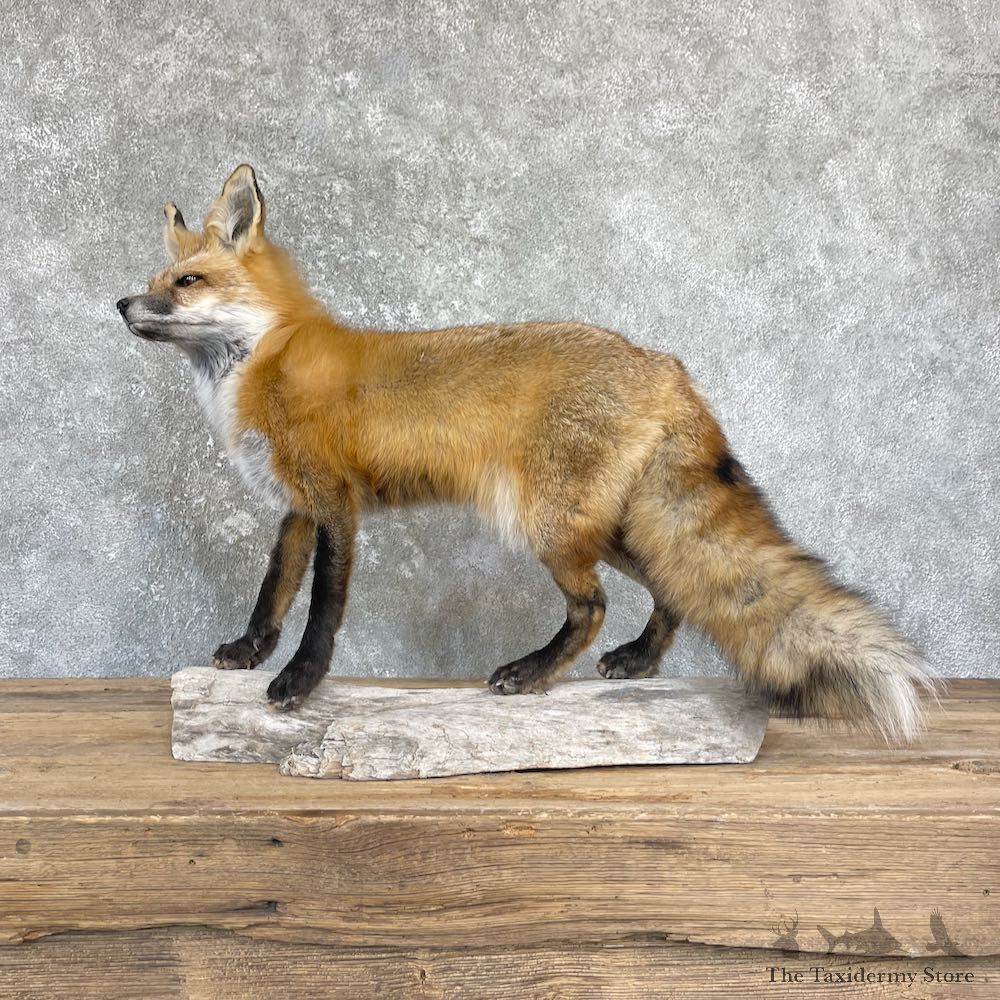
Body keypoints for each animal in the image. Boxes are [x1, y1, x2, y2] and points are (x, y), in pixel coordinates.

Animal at [116, 164, 938, 741]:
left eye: (187, 282)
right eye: (157, 280)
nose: (121, 304)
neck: (267, 361)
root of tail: (666, 365)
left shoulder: (337, 507)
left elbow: (321, 610)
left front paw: (297, 682)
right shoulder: (297, 507)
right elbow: (273, 592)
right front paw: (248, 651)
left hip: (550, 525)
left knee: (594, 605)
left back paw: (534, 672)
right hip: (602, 527)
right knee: (670, 588)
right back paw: (639, 663)